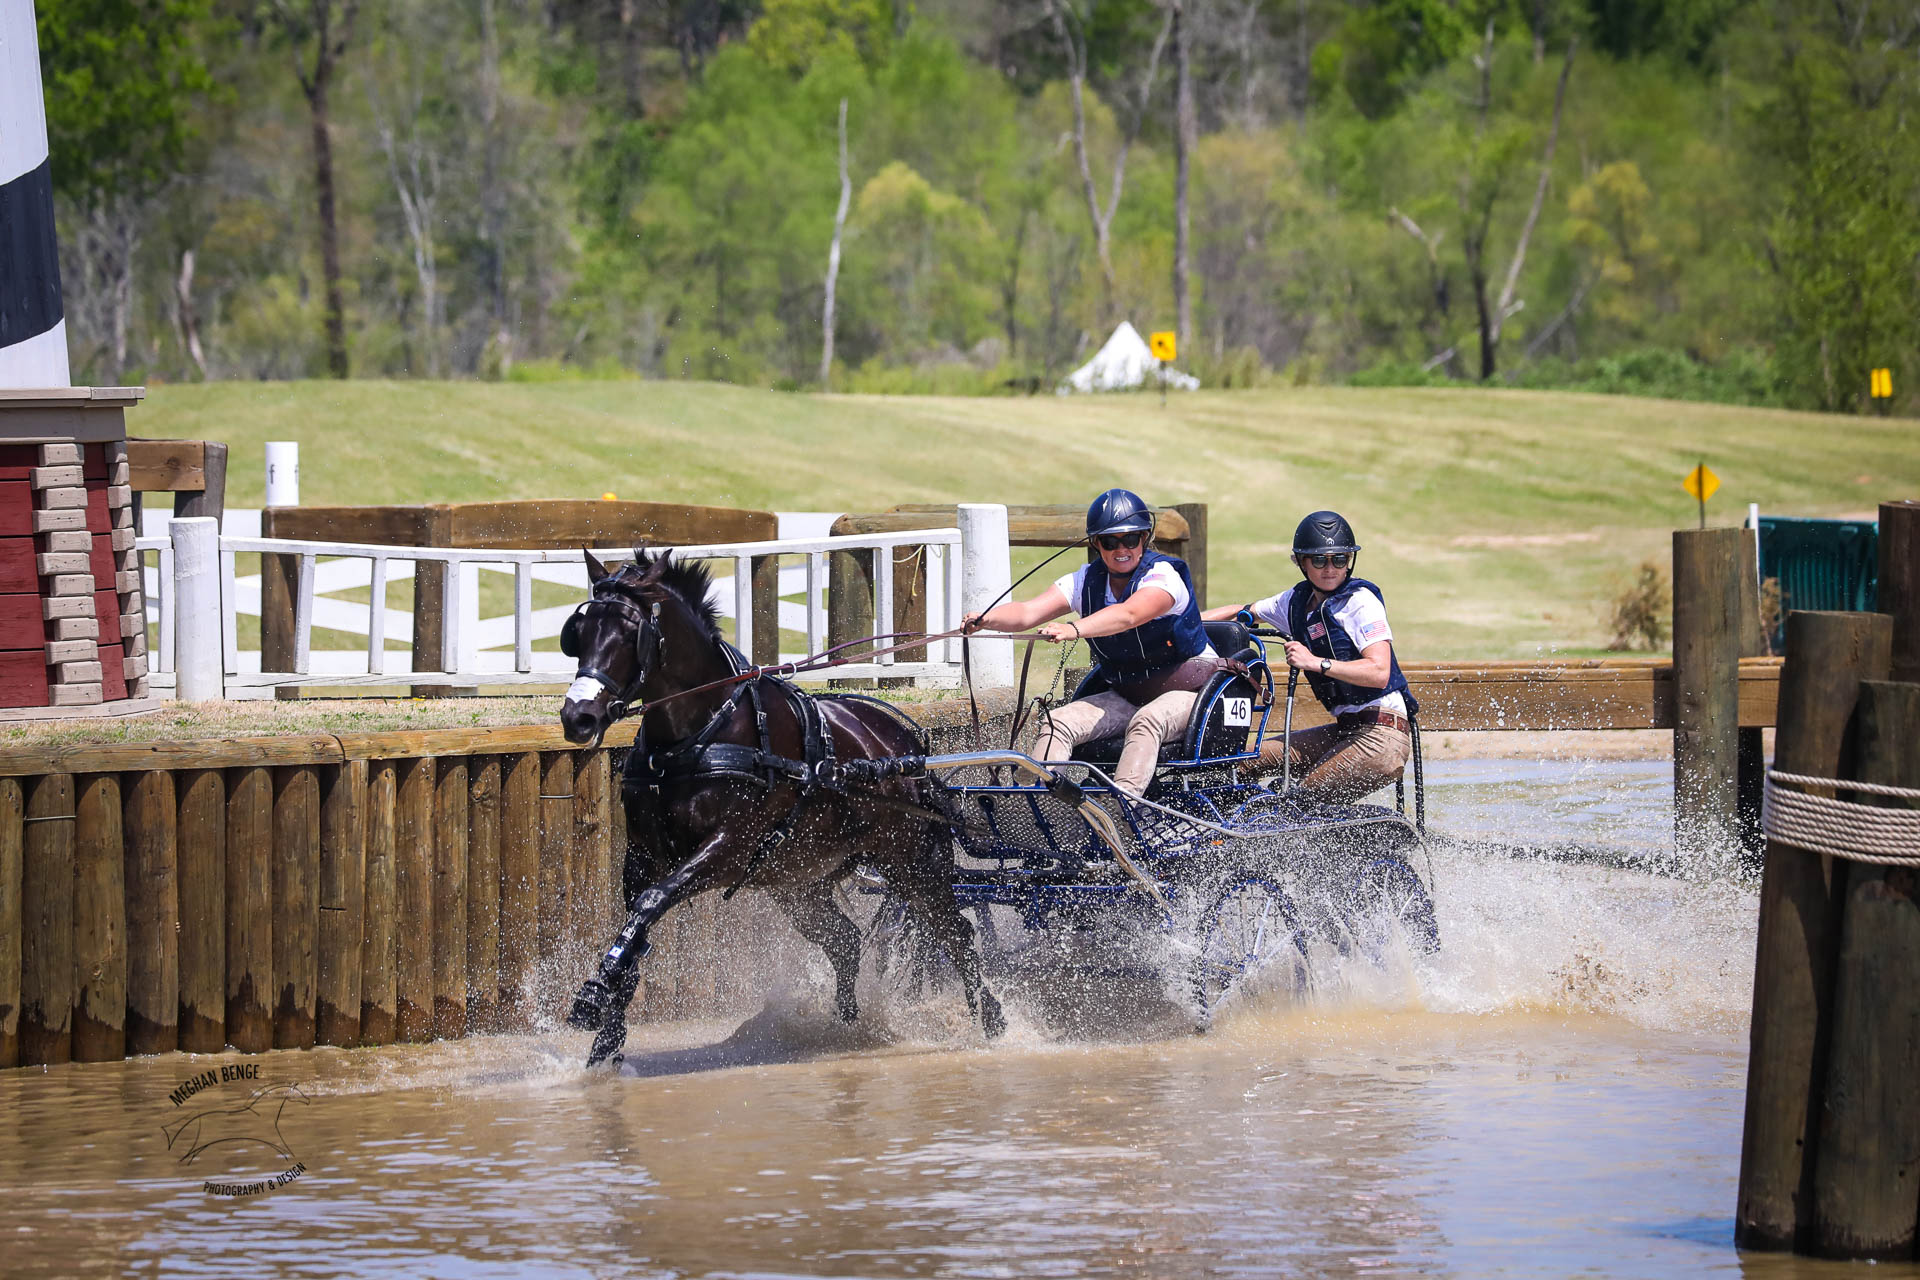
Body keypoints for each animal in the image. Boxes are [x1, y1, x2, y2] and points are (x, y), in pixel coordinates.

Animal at [556, 548, 1006, 1059]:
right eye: (579, 630)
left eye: (630, 632)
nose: (578, 716)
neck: (699, 732)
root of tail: (909, 745)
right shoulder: (642, 854)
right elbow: (638, 921)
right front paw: (606, 1035)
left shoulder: (727, 849)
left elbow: (652, 902)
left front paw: (596, 991)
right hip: (798, 881)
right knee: (846, 940)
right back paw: (846, 1024)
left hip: (914, 865)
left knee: (956, 935)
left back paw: (990, 1019)